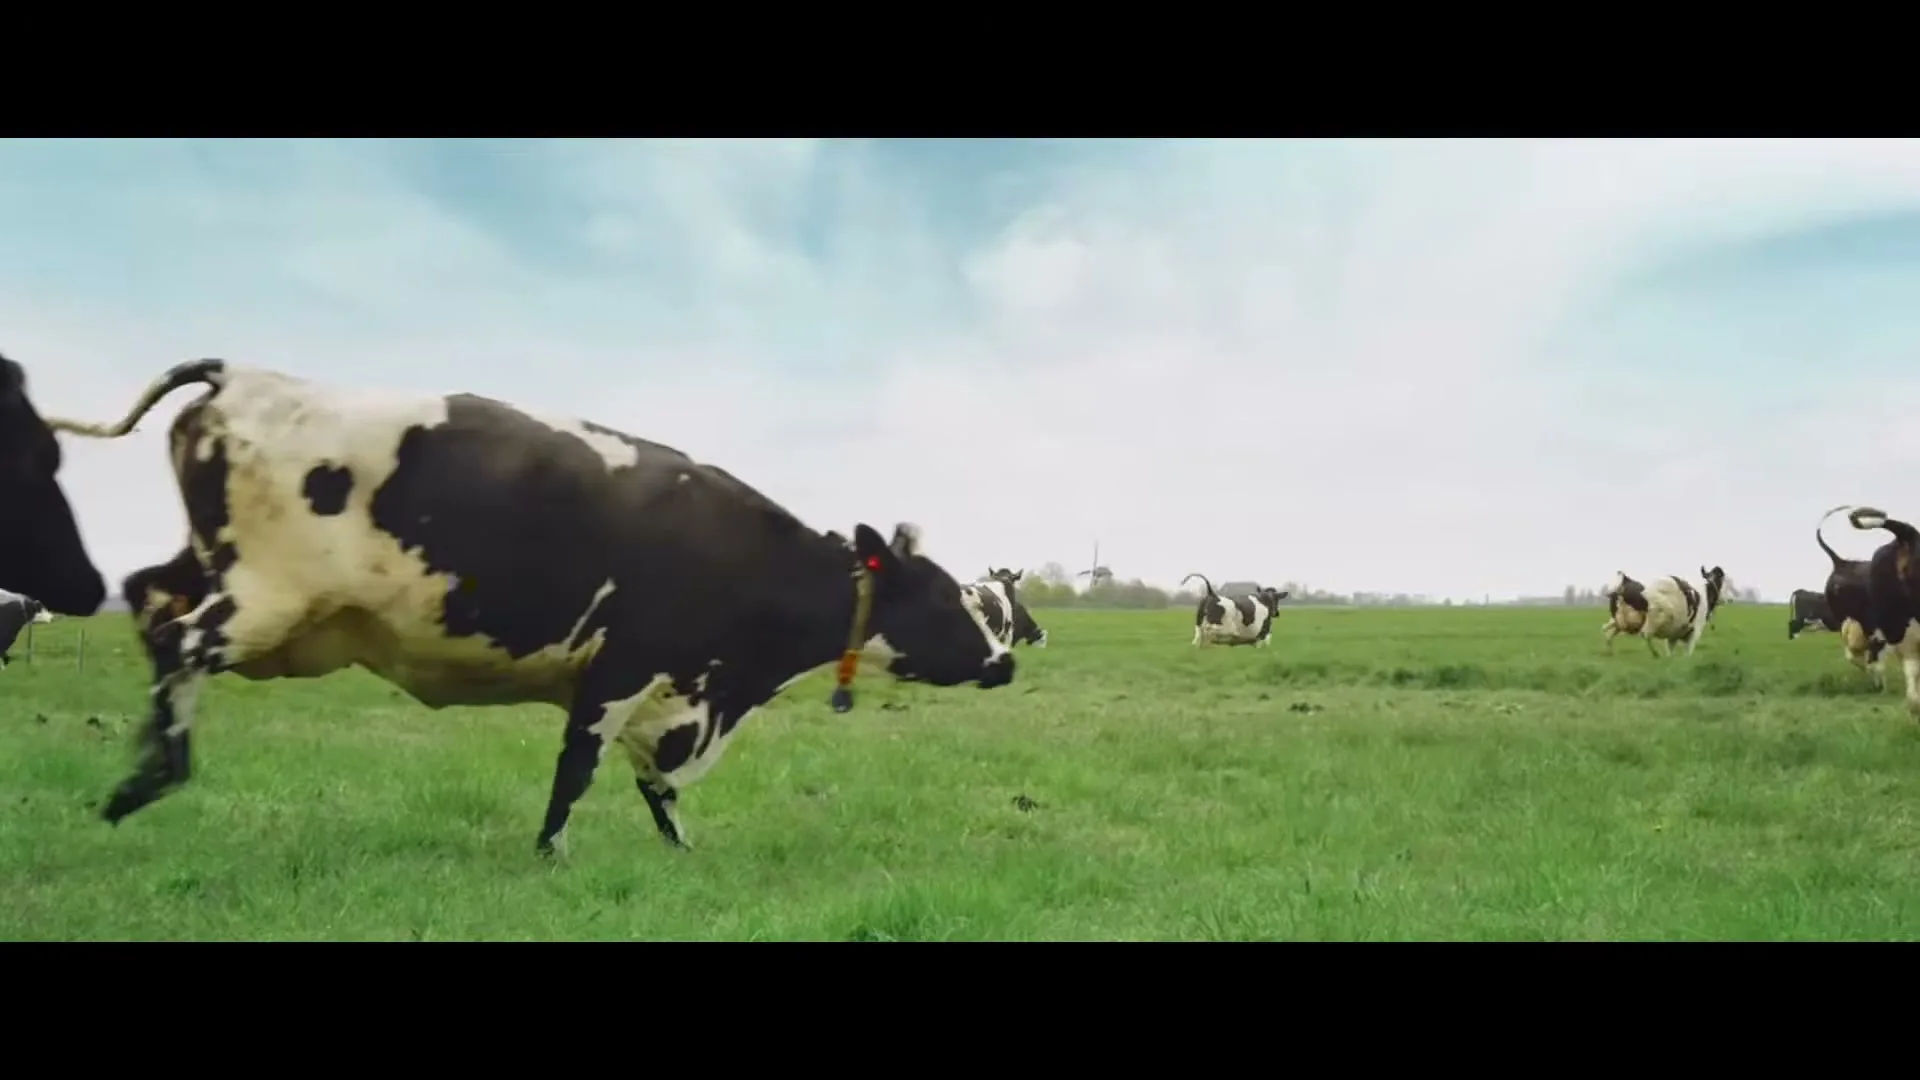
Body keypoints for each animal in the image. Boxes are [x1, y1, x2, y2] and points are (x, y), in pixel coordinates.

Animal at [45, 359, 1017, 856]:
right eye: (945, 596)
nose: (1006, 661)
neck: (733, 687)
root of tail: (242, 373)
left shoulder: (670, 695)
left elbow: (655, 783)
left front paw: (679, 854)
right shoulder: (625, 667)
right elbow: (580, 769)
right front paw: (550, 856)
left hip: (211, 567)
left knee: (149, 599)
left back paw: (138, 776)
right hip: (264, 595)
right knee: (181, 640)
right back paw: (151, 778)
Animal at [1601, 566, 1729, 656]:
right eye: (1722, 579)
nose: (1728, 599)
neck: (1703, 593)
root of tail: (1625, 582)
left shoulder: (1674, 635)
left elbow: (1670, 653)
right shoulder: (1694, 632)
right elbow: (1687, 653)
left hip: (1620, 622)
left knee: (1606, 631)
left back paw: (1610, 652)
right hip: (1653, 619)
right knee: (1645, 635)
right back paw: (1655, 654)